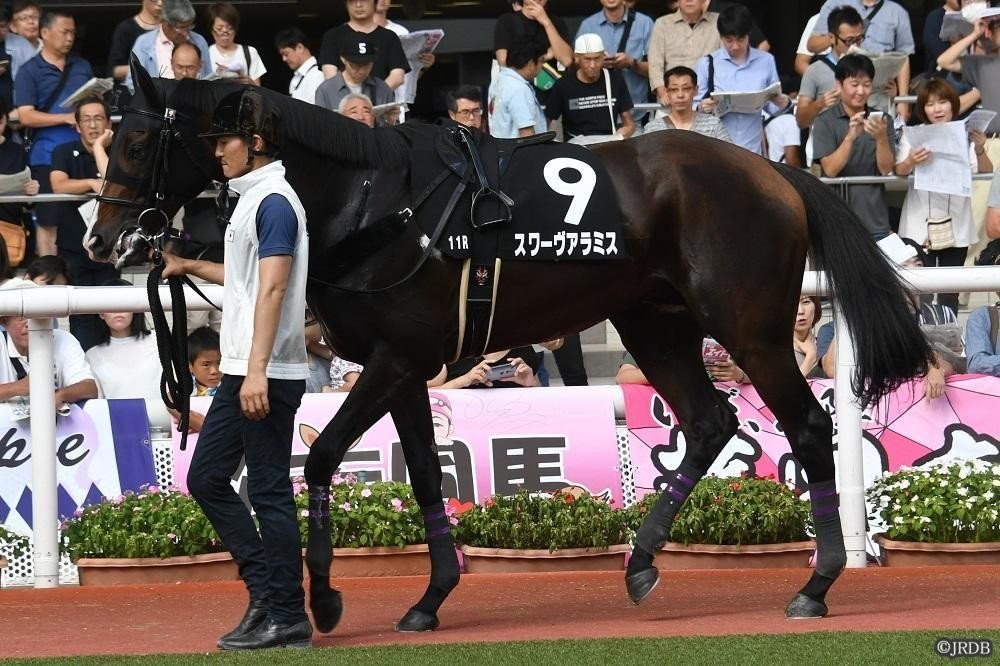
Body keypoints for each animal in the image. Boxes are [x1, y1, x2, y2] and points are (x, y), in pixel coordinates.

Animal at [88, 62, 930, 632]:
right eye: (109, 137)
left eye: (139, 140)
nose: (103, 238)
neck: (376, 201)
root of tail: (775, 172)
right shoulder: (405, 367)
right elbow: (426, 474)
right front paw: (429, 598)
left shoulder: (395, 360)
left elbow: (323, 457)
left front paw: (323, 597)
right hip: (655, 322)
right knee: (710, 421)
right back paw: (641, 564)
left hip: (748, 326)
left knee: (807, 426)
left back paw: (815, 584)